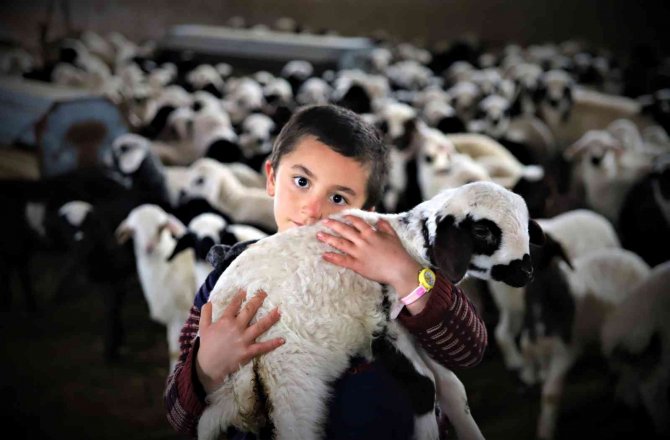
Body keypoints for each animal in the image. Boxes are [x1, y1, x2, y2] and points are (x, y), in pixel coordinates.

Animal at [115, 205, 198, 370]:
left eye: (160, 227)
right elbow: (173, 352)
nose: (149, 247)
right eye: (134, 230)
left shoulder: (181, 312)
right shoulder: (173, 315)